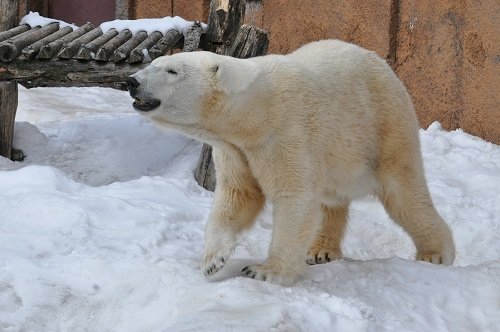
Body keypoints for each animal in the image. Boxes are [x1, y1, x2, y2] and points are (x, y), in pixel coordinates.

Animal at [127, 39, 456, 286]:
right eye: (154, 64)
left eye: (171, 70)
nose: (132, 81)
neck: (254, 111)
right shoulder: (236, 150)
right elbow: (237, 195)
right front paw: (212, 261)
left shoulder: (285, 133)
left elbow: (293, 197)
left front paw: (264, 271)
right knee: (332, 199)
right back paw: (321, 250)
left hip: (385, 128)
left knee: (405, 196)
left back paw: (437, 254)